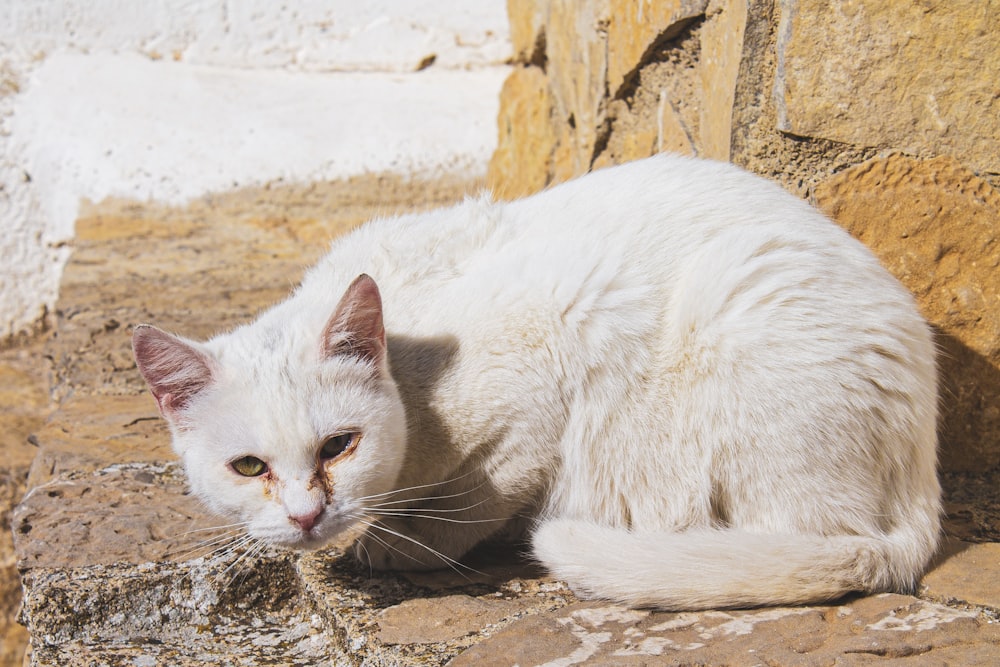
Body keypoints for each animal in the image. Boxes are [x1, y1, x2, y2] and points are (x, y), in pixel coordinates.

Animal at [133, 155, 936, 612]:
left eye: (338, 446)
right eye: (248, 467)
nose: (305, 516)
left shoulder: (553, 357)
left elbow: (472, 502)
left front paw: (403, 542)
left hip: (738, 322)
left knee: (803, 544)